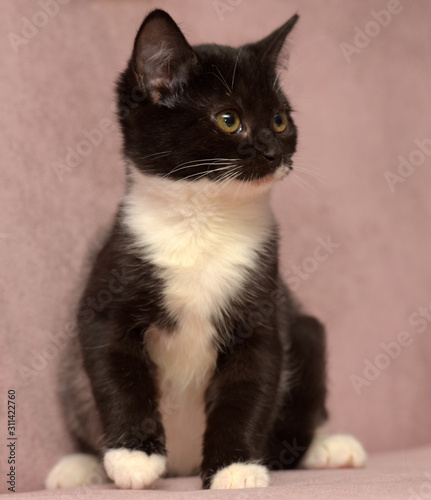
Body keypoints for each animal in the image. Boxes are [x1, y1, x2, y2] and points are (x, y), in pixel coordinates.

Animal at [45, 8, 366, 492]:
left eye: (279, 120)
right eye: (228, 119)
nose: (272, 151)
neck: (204, 221)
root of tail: (182, 465)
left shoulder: (263, 308)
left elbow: (250, 386)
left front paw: (235, 467)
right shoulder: (110, 282)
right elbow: (116, 371)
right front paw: (131, 457)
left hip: (307, 332)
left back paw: (327, 447)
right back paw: (81, 466)